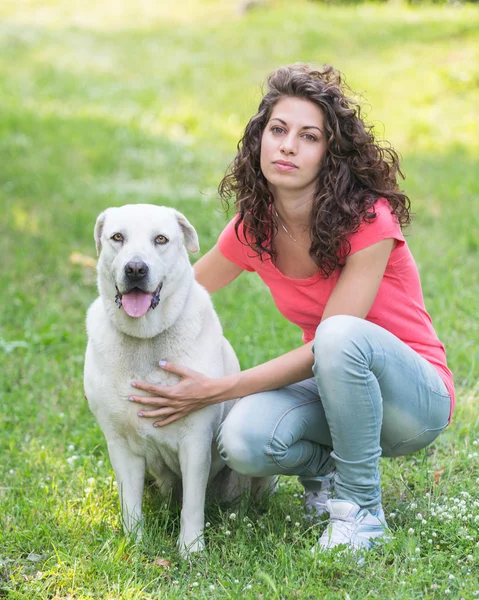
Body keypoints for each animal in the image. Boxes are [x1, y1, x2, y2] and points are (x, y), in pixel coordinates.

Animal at [84, 204, 272, 556]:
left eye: (161, 239)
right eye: (117, 237)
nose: (135, 269)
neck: (145, 340)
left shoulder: (195, 441)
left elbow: (193, 505)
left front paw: (191, 549)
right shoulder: (120, 445)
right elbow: (130, 504)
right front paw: (134, 545)